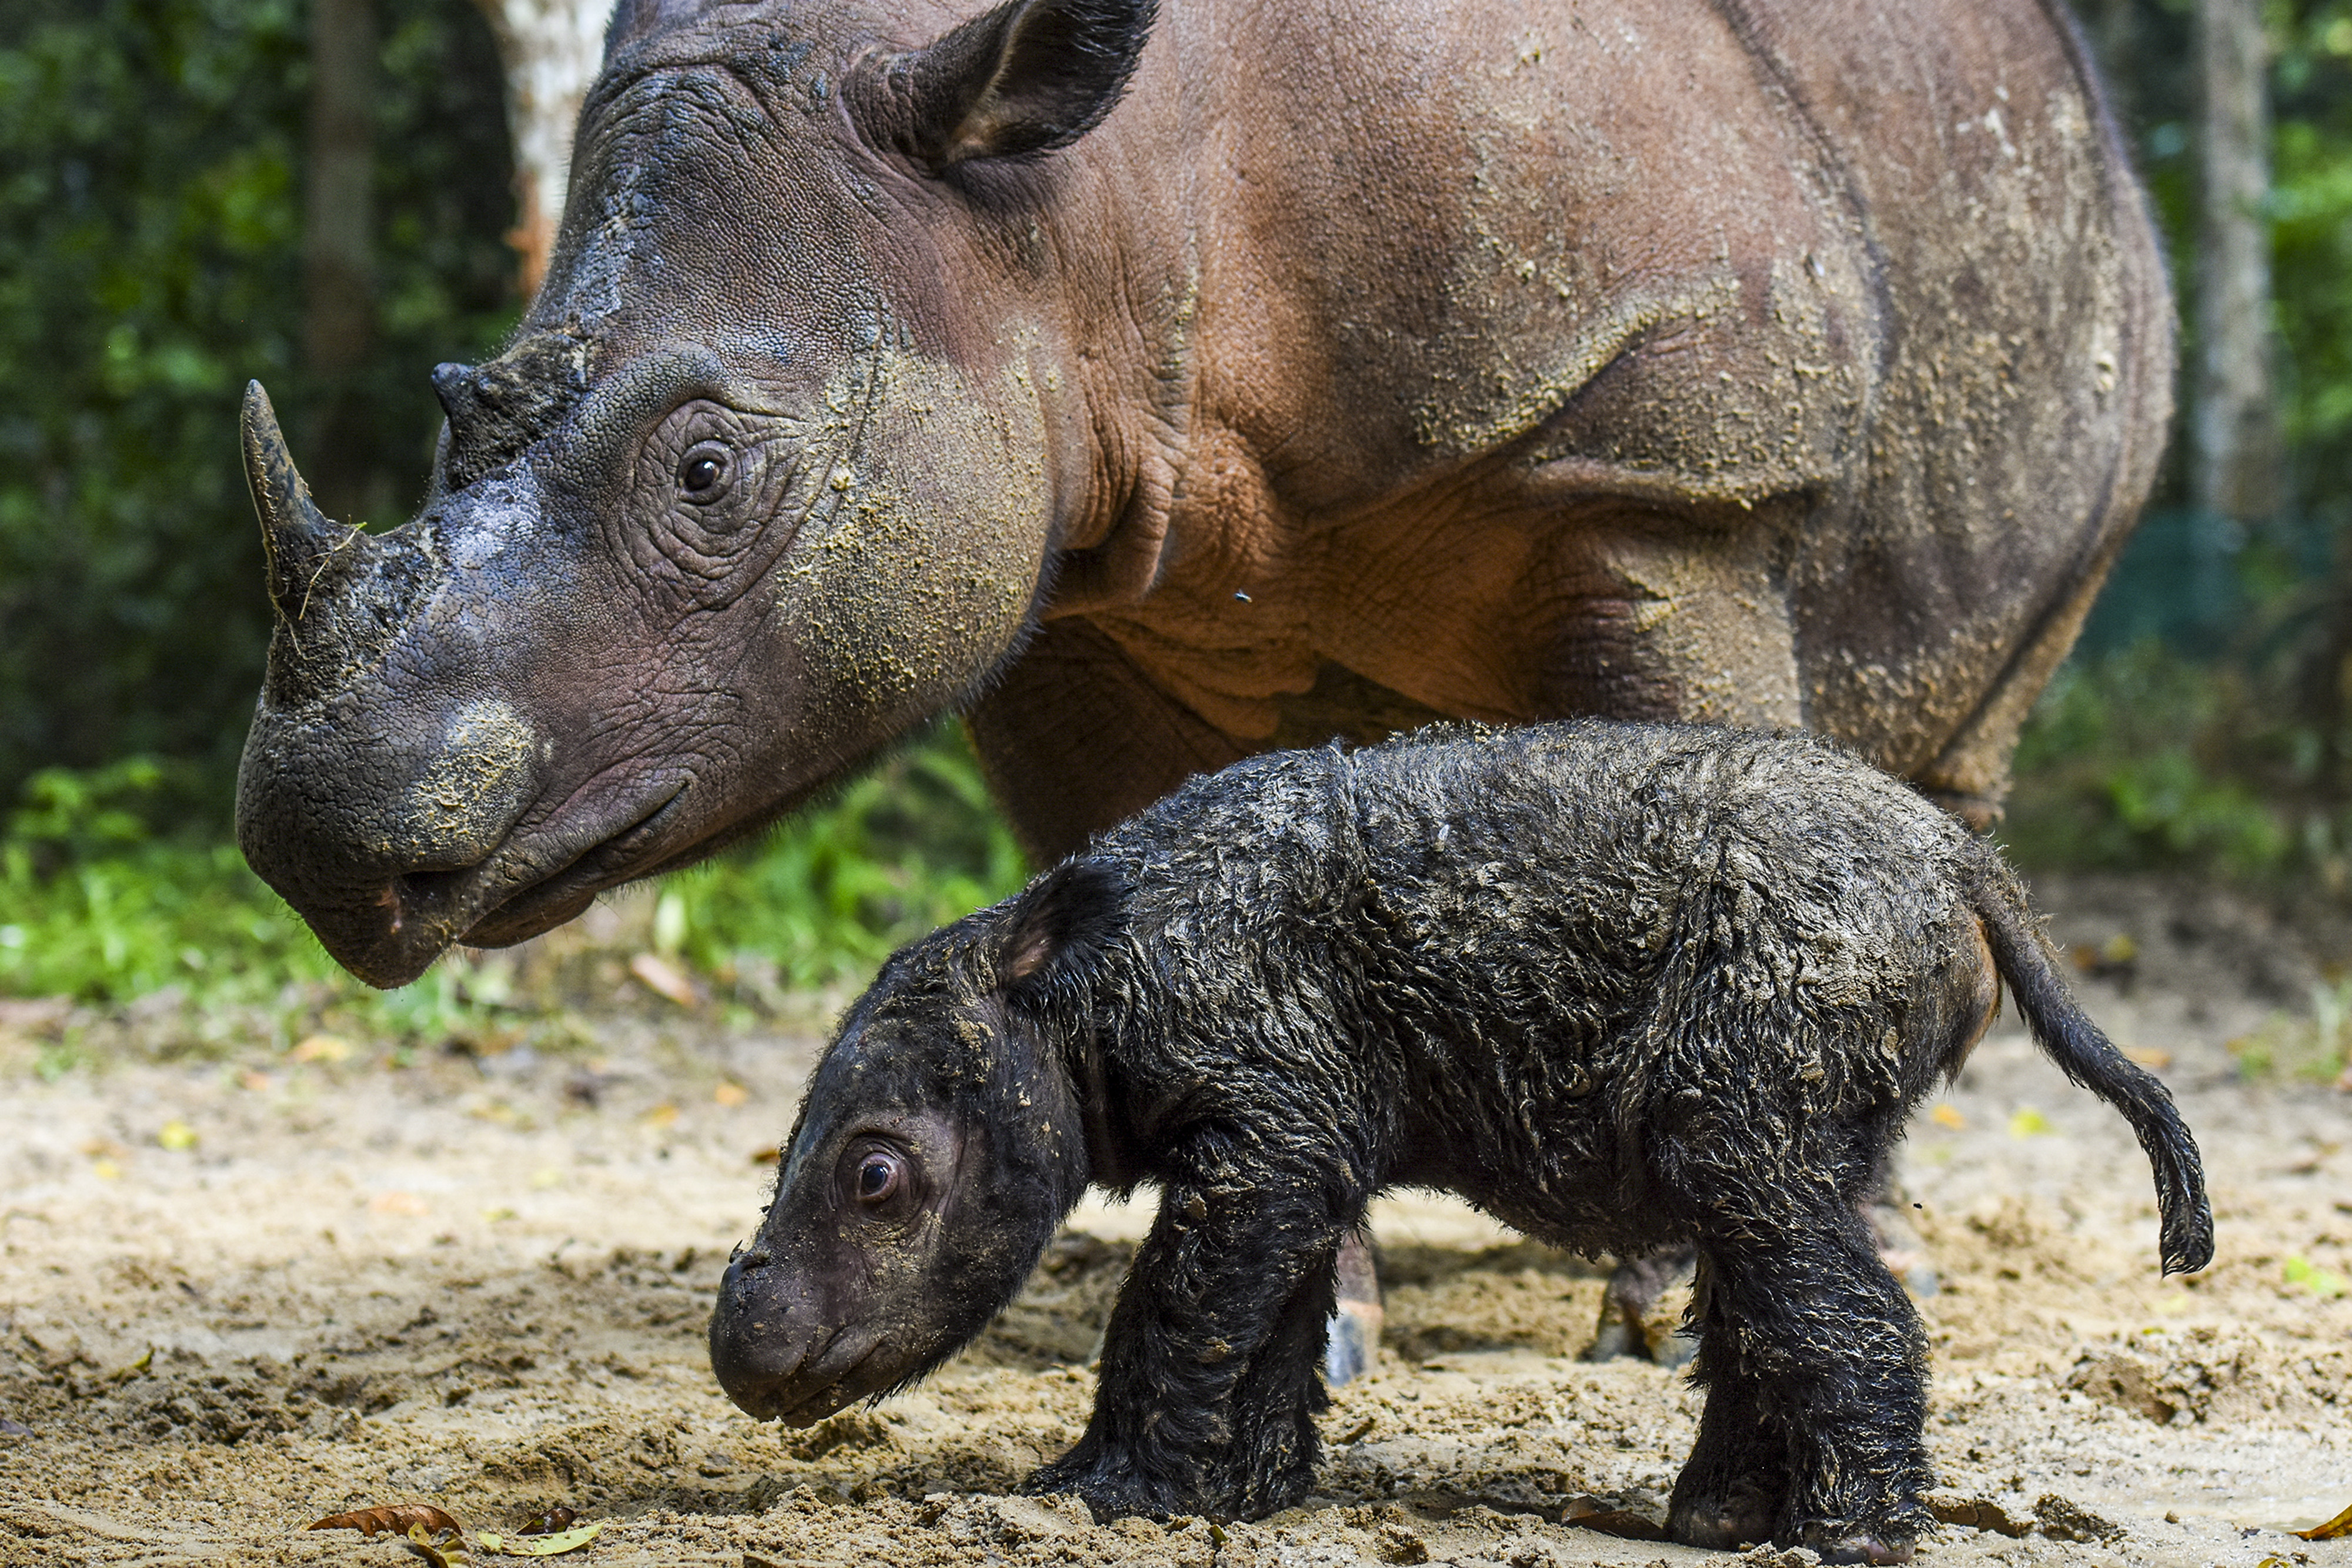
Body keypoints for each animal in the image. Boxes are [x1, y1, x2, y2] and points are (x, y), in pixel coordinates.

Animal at [235, 0, 2171, 990]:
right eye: (453, 410)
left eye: (709, 473)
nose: (322, 836)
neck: (1072, 208)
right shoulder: (1049, 578)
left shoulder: (1664, 470)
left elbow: (1715, 807)